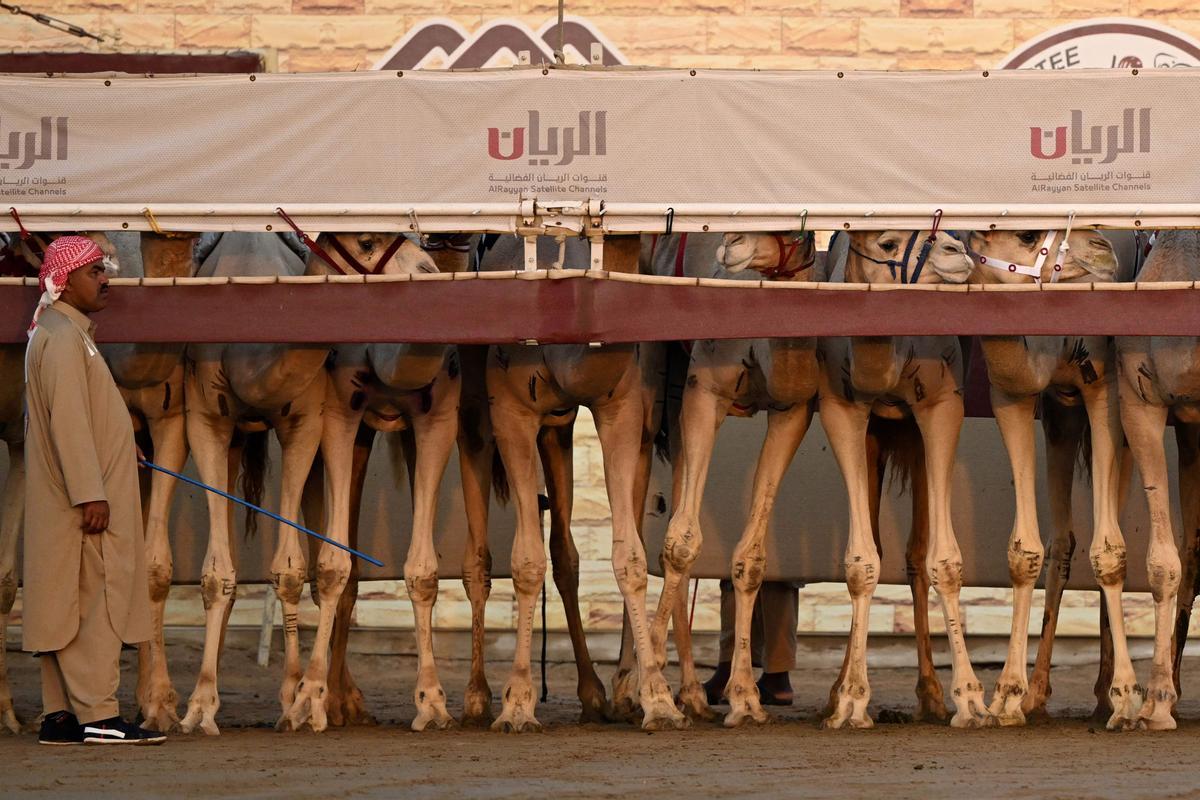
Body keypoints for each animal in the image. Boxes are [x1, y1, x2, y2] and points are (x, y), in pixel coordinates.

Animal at [470, 231, 686, 734]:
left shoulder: (621, 410)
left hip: (570, 429)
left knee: (569, 550)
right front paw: (516, 705)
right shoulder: (511, 415)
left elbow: (629, 557)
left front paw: (659, 700)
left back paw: (601, 694)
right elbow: (526, 561)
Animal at [816, 227, 993, 729]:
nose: (958, 252)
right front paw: (851, 702)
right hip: (878, 436)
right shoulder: (842, 409)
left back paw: (932, 695)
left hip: (912, 436)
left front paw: (971, 701)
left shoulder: (942, 405)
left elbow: (944, 561)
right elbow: (860, 562)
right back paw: (838, 693)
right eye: (887, 243)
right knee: (881, 543)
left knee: (916, 554)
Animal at [964, 227, 1142, 729]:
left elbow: (1110, 551)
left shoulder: (1105, 389)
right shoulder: (1027, 398)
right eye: (1027, 234)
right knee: (1065, 541)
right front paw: (1007, 697)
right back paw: (1050, 695)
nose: (1103, 249)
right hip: (1066, 419)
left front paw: (1128, 697)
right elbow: (1026, 550)